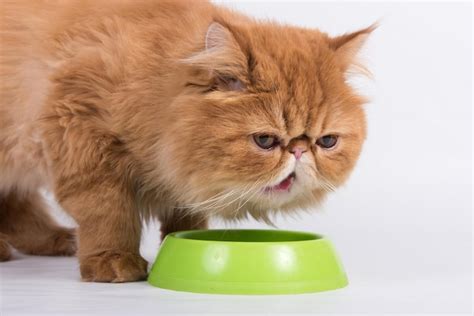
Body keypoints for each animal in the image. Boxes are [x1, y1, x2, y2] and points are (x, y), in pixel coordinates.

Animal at [0, 0, 374, 282]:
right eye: (266, 141)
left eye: (326, 142)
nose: (299, 150)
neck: (152, 89)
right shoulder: (79, 129)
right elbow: (108, 211)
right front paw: (113, 260)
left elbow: (185, 217)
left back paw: (54, 239)